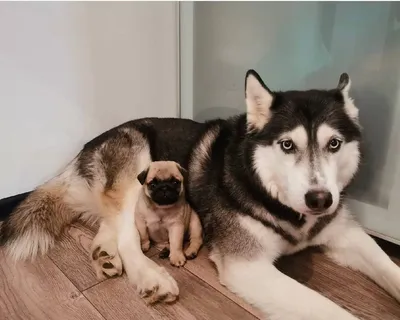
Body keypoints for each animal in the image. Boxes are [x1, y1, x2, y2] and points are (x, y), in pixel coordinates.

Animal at [0, 69, 400, 316]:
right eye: (287, 145)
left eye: (334, 144)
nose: (320, 200)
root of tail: (85, 147)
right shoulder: (247, 266)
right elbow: (331, 310)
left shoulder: (346, 234)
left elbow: (389, 268)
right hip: (137, 160)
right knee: (129, 236)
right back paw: (150, 277)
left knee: (109, 227)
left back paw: (104, 255)